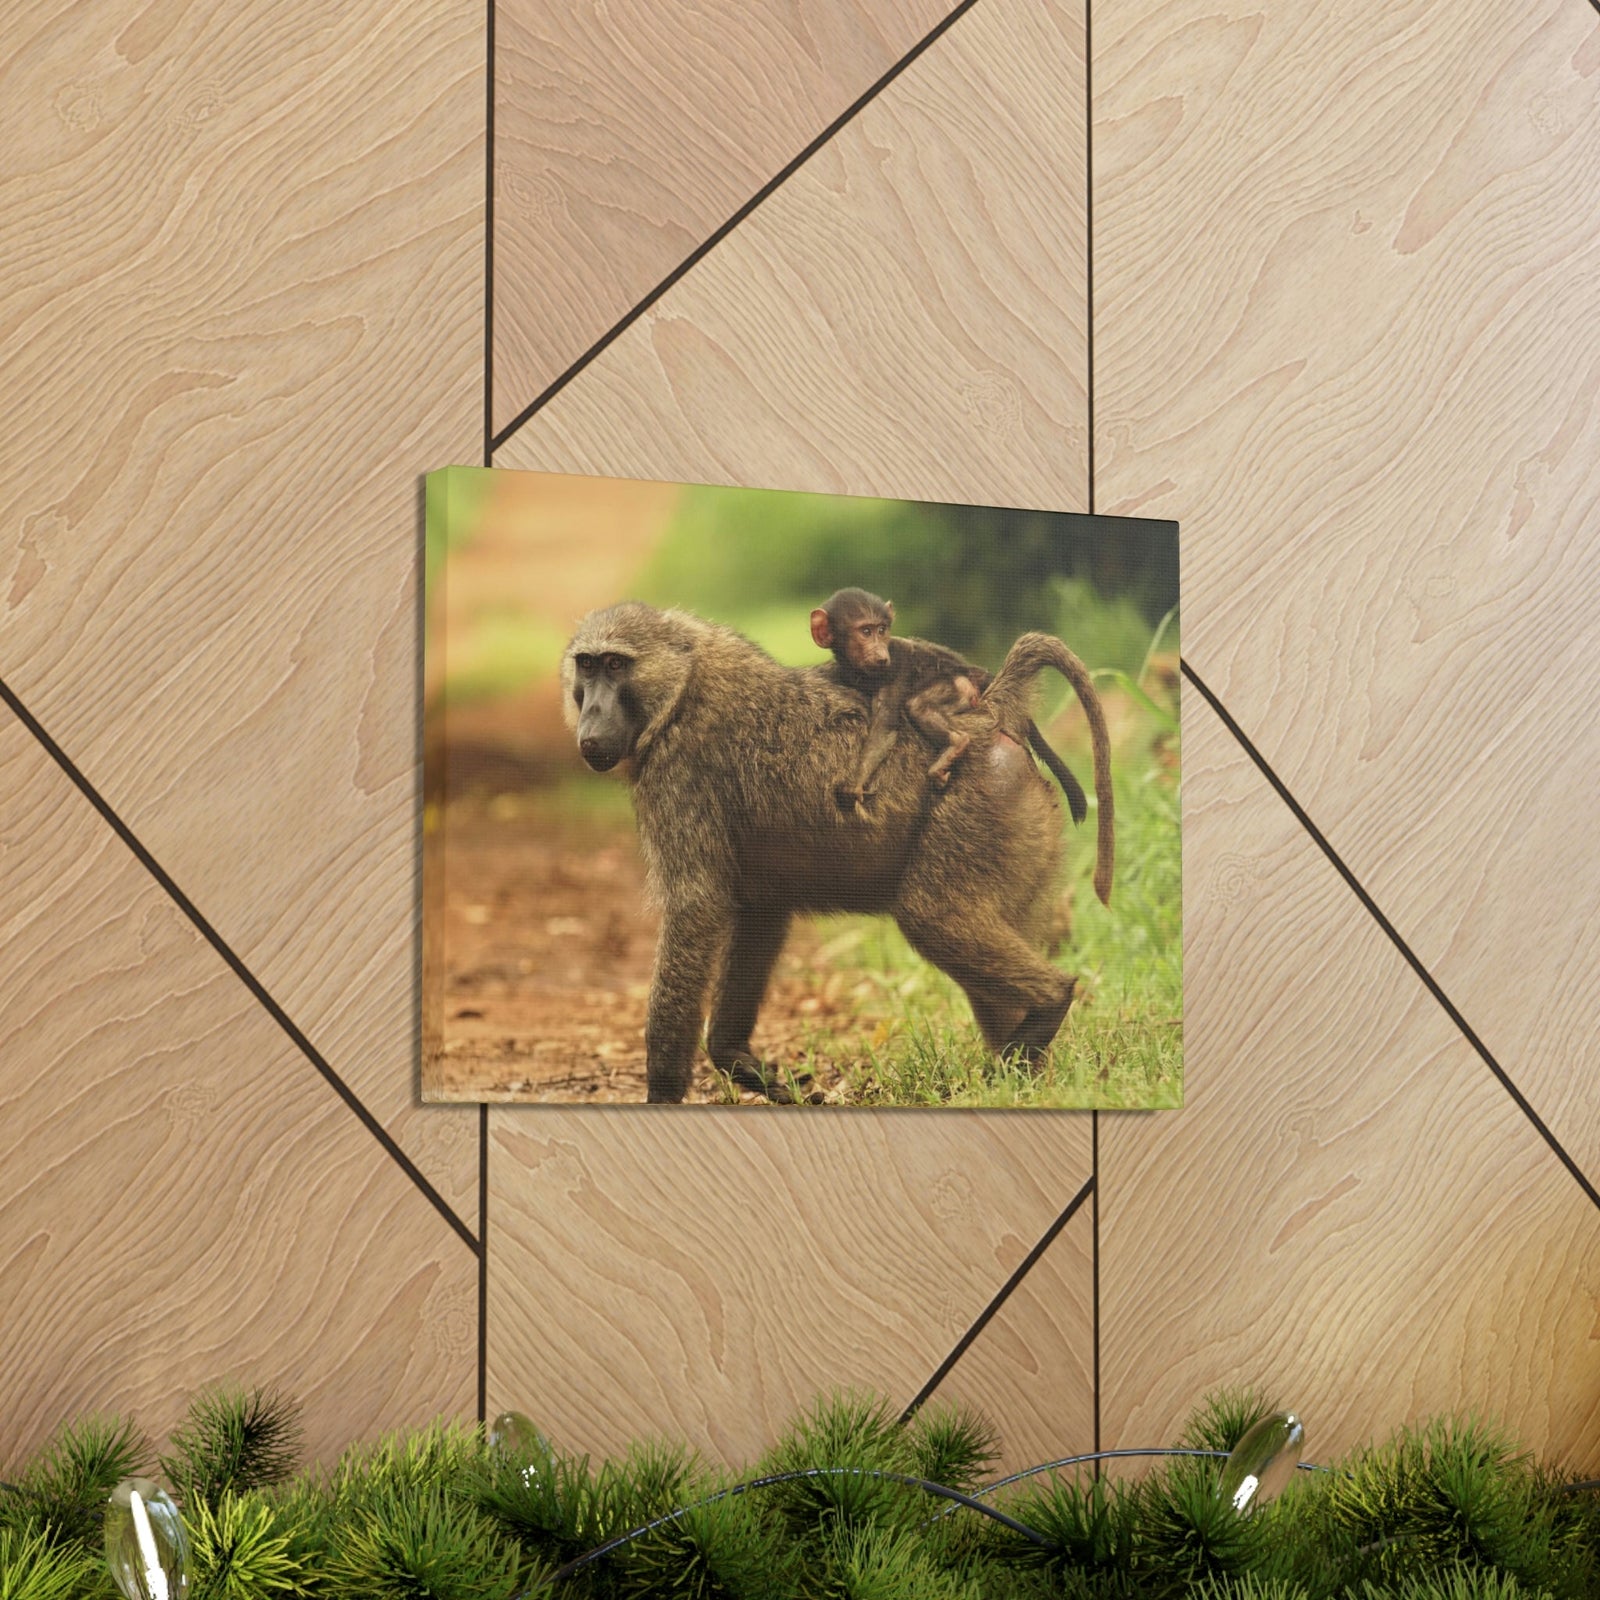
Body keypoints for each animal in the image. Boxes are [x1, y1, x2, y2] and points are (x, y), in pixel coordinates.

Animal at [809, 588, 1091, 825]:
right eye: (865, 632)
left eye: (882, 630)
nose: (880, 654)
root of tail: (973, 671)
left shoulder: (896, 666)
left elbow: (885, 726)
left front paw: (855, 784)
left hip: (960, 687)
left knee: (919, 705)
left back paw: (956, 743)